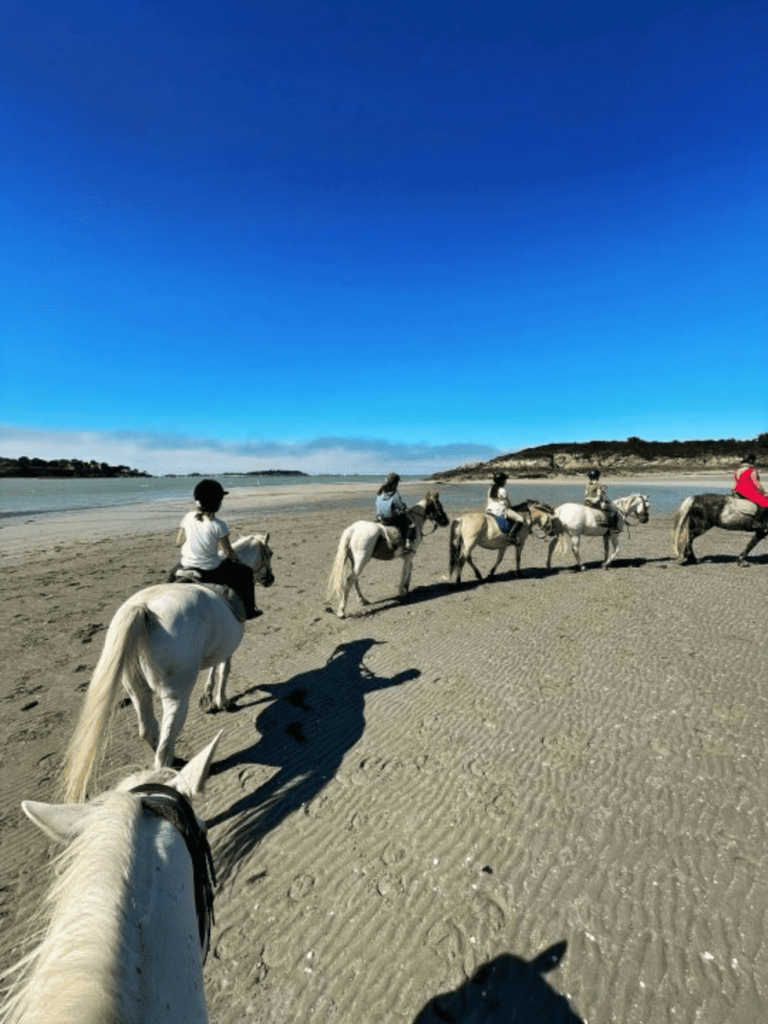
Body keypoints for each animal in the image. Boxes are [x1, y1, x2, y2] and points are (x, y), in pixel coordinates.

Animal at [64, 532, 274, 802]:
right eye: (270, 553)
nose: (270, 579)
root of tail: (143, 609)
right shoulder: (228, 648)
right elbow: (223, 671)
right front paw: (221, 701)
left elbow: (213, 670)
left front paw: (208, 698)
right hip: (176, 696)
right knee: (163, 747)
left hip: (137, 691)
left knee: (148, 731)